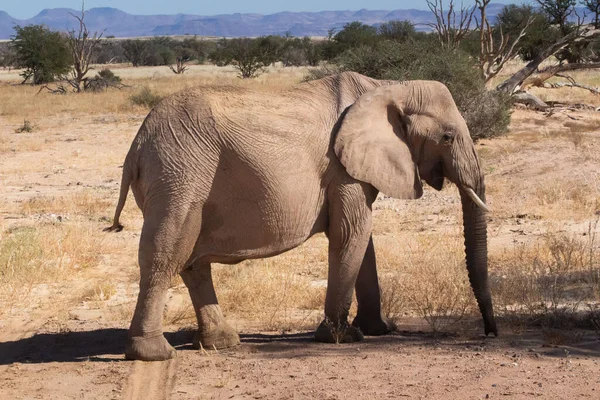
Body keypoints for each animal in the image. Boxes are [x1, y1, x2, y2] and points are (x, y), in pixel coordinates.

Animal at [104, 70, 496, 360]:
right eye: (447, 137)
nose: (490, 335)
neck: (390, 87)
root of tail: (136, 145)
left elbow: (362, 239)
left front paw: (379, 330)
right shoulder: (341, 168)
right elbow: (351, 233)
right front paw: (343, 337)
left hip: (177, 175)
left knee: (192, 261)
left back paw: (222, 343)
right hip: (179, 173)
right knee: (167, 252)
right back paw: (154, 354)